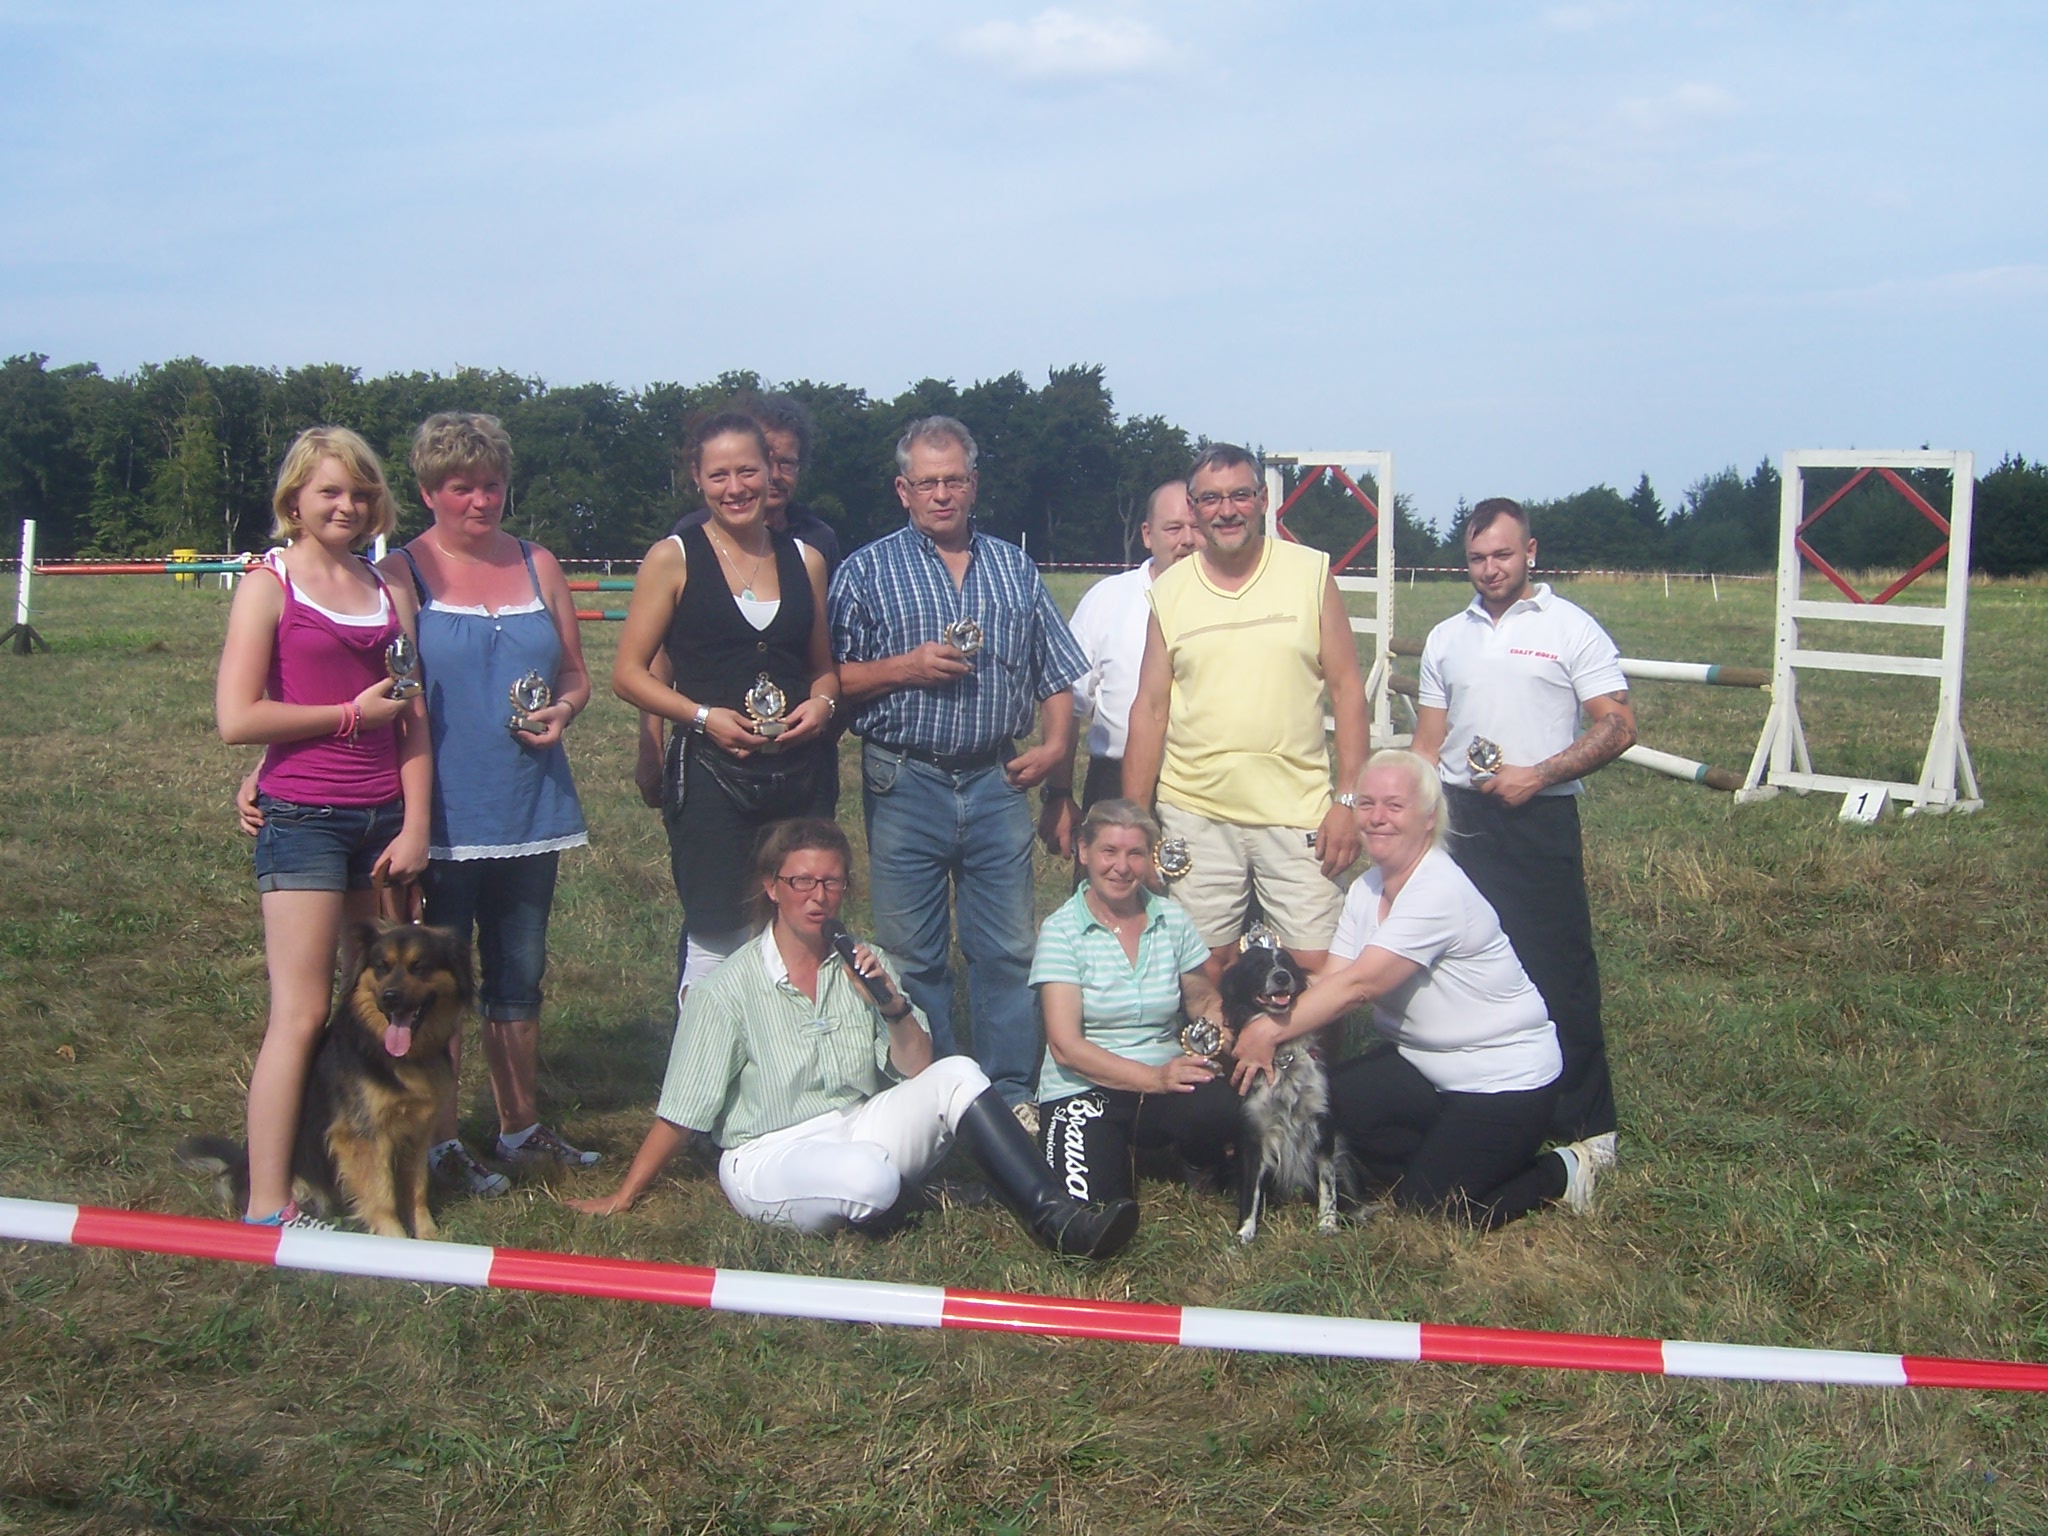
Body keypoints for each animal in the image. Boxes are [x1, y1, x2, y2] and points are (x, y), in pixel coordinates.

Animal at [178, 922, 471, 1238]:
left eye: (419, 967)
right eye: (381, 966)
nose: (389, 997)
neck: (397, 1055)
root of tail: (239, 1168)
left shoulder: (417, 1131)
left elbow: (417, 1187)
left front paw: (428, 1236)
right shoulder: (362, 1135)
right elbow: (381, 1195)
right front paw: (395, 1240)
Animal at [1218, 940, 1350, 1244]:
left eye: (1287, 965)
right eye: (1258, 966)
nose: (1281, 977)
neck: (1282, 1056)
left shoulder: (1323, 1125)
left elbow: (1328, 1183)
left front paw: (1328, 1224)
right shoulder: (1253, 1132)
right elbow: (1250, 1191)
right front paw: (1244, 1233)